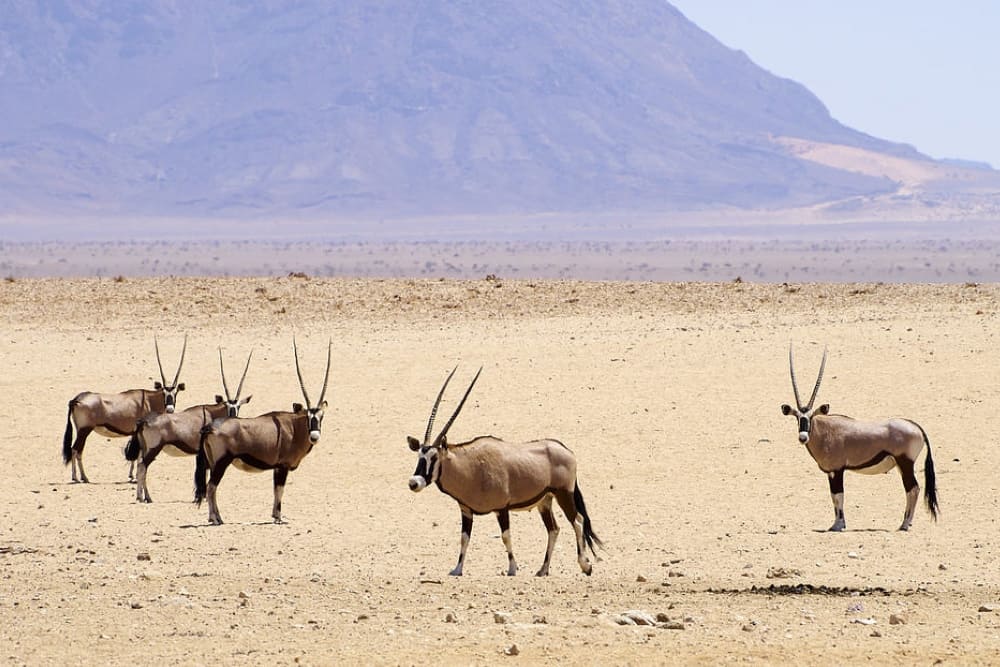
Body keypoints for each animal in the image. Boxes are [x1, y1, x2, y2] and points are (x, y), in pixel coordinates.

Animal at [63, 337, 187, 483]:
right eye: (163, 392)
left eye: (175, 392)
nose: (170, 409)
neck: (148, 399)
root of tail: (76, 399)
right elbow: (138, 454)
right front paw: (135, 477)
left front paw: (131, 475)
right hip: (85, 430)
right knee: (76, 449)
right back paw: (79, 477)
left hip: (80, 430)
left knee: (76, 450)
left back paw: (80, 476)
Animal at [127, 348, 253, 503]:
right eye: (227, 405)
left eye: (238, 406)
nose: (233, 418)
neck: (210, 413)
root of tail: (144, 421)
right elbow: (205, 471)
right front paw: (202, 497)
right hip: (153, 449)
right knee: (142, 467)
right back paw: (146, 497)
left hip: (145, 448)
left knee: (140, 466)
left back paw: (142, 496)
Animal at [196, 340, 331, 525]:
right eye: (308, 416)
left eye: (321, 416)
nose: (314, 436)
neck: (294, 427)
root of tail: (211, 427)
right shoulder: (283, 466)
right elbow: (280, 490)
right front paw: (279, 518)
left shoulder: (276, 468)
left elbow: (275, 490)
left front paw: (275, 515)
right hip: (222, 463)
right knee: (211, 487)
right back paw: (216, 519)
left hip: (212, 463)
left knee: (211, 487)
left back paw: (216, 517)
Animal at [407, 367, 603, 577]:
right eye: (419, 455)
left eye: (434, 457)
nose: (414, 482)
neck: (470, 466)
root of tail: (567, 450)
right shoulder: (466, 510)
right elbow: (464, 538)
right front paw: (457, 569)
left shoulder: (501, 508)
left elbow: (506, 537)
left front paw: (512, 568)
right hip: (545, 500)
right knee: (554, 529)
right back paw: (543, 569)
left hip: (563, 494)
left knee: (578, 522)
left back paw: (585, 565)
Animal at [780, 344, 939, 532]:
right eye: (797, 417)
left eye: (811, 416)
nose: (803, 437)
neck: (825, 431)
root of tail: (916, 427)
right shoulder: (831, 472)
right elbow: (834, 496)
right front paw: (837, 523)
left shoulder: (837, 470)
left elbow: (838, 496)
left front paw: (838, 525)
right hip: (901, 465)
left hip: (905, 462)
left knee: (913, 489)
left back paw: (905, 524)